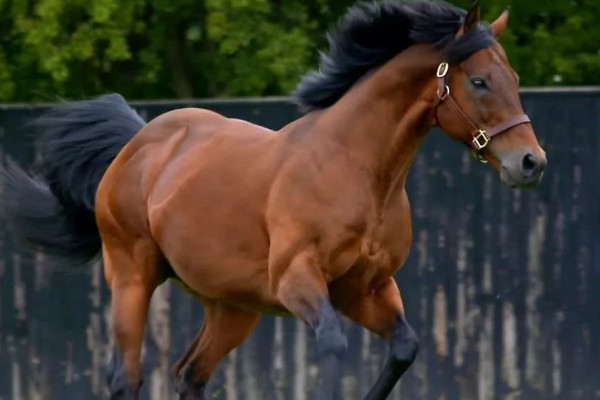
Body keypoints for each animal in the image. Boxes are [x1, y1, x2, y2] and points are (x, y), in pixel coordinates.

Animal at [2, 0, 548, 400]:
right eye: (478, 81)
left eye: (516, 80)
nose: (531, 163)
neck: (354, 169)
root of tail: (138, 142)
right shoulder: (297, 279)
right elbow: (333, 347)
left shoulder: (366, 288)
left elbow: (404, 348)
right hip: (133, 276)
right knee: (127, 378)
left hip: (232, 307)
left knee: (189, 374)